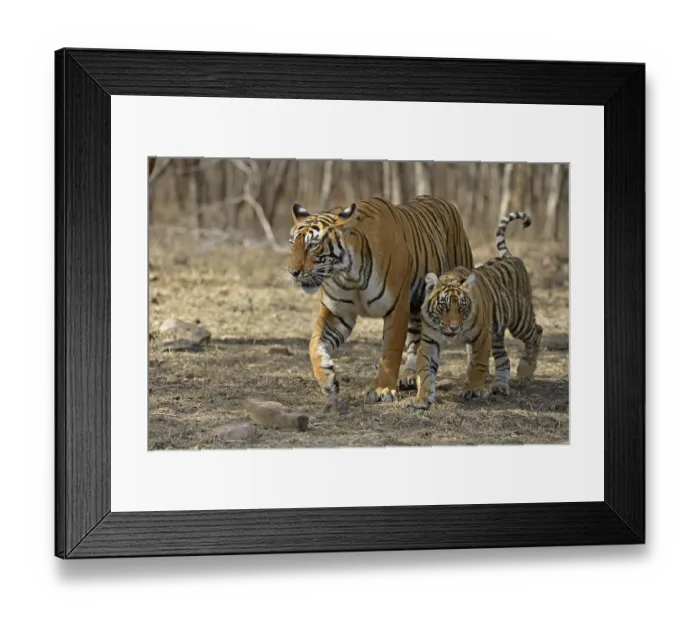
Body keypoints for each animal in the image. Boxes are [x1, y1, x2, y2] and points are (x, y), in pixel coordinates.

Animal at [287, 195, 474, 411]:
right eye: (292, 244)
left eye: (312, 245)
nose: (293, 272)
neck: (348, 275)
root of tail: (443, 200)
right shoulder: (337, 312)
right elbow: (315, 344)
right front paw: (328, 381)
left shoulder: (396, 307)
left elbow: (390, 352)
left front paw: (381, 390)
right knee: (416, 340)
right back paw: (410, 376)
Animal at [404, 211, 543, 410]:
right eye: (443, 306)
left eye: (462, 306)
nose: (454, 328)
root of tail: (511, 257)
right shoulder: (429, 342)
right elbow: (424, 372)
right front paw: (422, 398)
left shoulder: (481, 337)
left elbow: (476, 365)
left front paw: (473, 390)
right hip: (497, 334)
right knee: (504, 358)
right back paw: (500, 386)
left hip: (519, 320)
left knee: (536, 332)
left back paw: (525, 371)